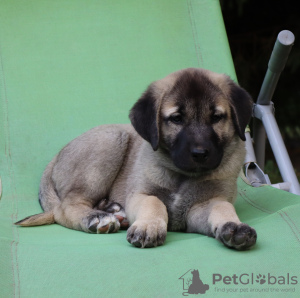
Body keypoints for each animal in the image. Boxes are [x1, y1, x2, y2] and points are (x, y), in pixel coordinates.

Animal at [15, 67, 256, 249]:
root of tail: (55, 157)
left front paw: (233, 226)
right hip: (111, 141)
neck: (181, 176)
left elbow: (221, 208)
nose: (200, 154)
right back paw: (98, 217)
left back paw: (113, 211)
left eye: (216, 117)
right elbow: (154, 202)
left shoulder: (203, 206)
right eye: (176, 119)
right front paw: (148, 226)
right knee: (65, 207)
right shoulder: (140, 194)